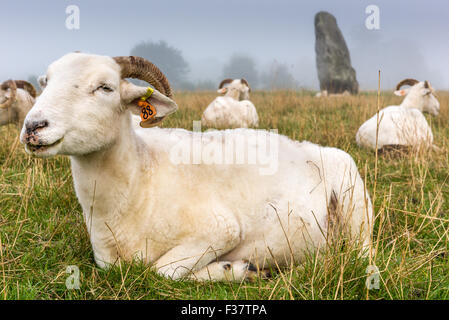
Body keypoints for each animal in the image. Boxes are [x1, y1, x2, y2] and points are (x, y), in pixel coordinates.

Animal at [20, 53, 372, 282]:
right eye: (45, 83)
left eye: (105, 87)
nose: (33, 126)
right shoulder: (107, 262)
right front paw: (235, 270)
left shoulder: (221, 229)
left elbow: (161, 271)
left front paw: (233, 269)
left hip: (357, 217)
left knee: (358, 255)